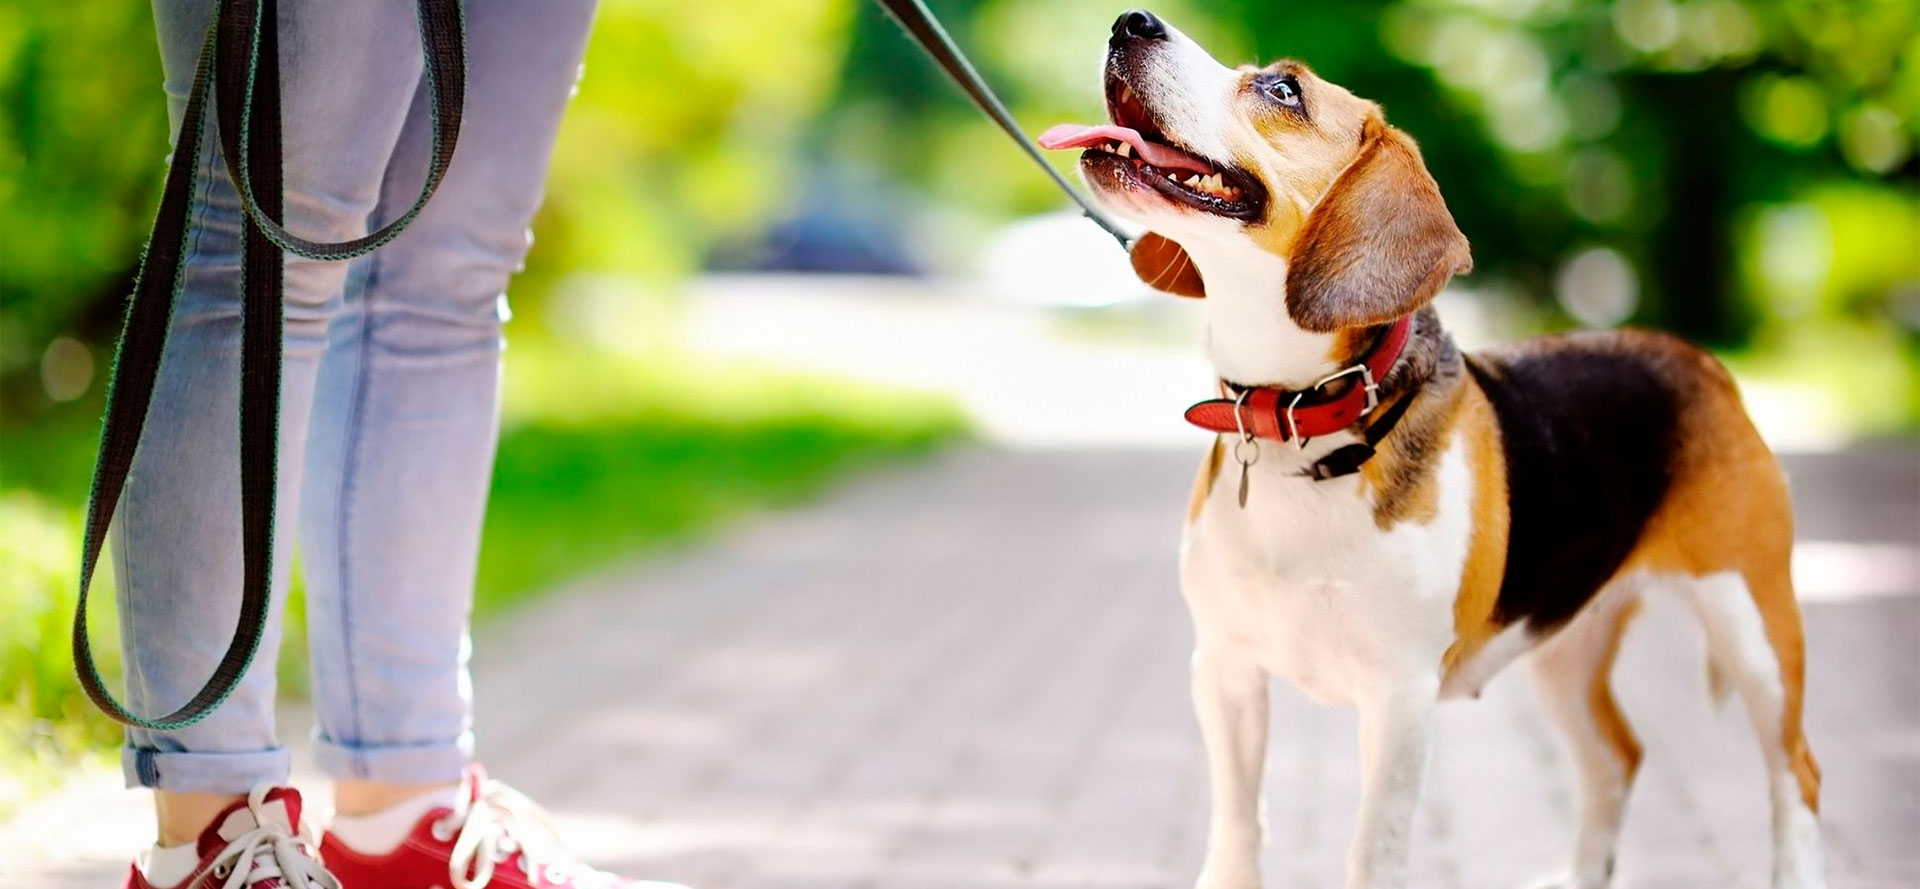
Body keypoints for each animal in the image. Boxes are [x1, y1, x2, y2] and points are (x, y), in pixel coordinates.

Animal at [1044, 12, 1820, 889]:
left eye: (1282, 89)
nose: (1130, 21)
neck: (1303, 419)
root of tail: (1698, 359)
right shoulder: (1225, 670)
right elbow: (1238, 832)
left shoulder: (1399, 697)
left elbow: (1372, 851)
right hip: (1564, 639)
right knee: (1616, 757)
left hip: (1754, 625)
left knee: (1796, 771)